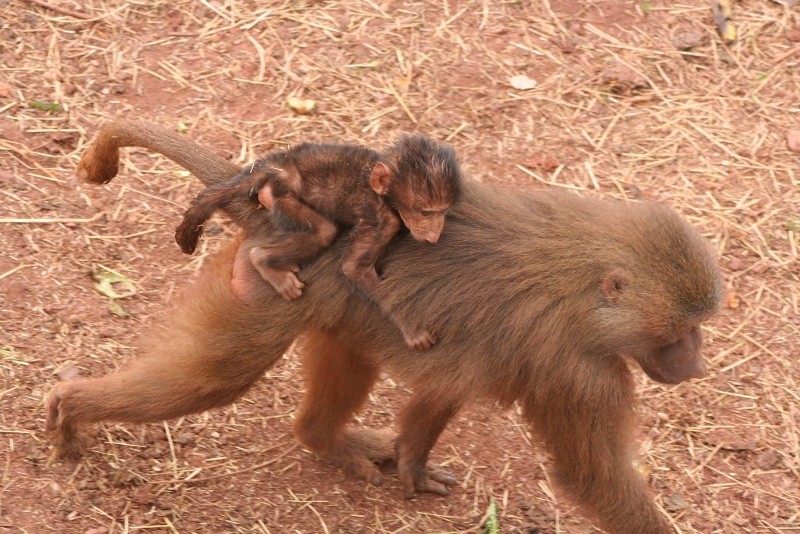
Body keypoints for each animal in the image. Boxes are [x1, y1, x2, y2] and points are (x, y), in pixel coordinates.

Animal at [174, 136, 463, 351]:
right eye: (426, 212)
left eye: (442, 212)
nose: (434, 234)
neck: (381, 190)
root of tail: (275, 166)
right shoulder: (382, 220)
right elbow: (353, 268)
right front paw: (411, 330)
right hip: (284, 197)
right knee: (323, 231)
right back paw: (265, 262)